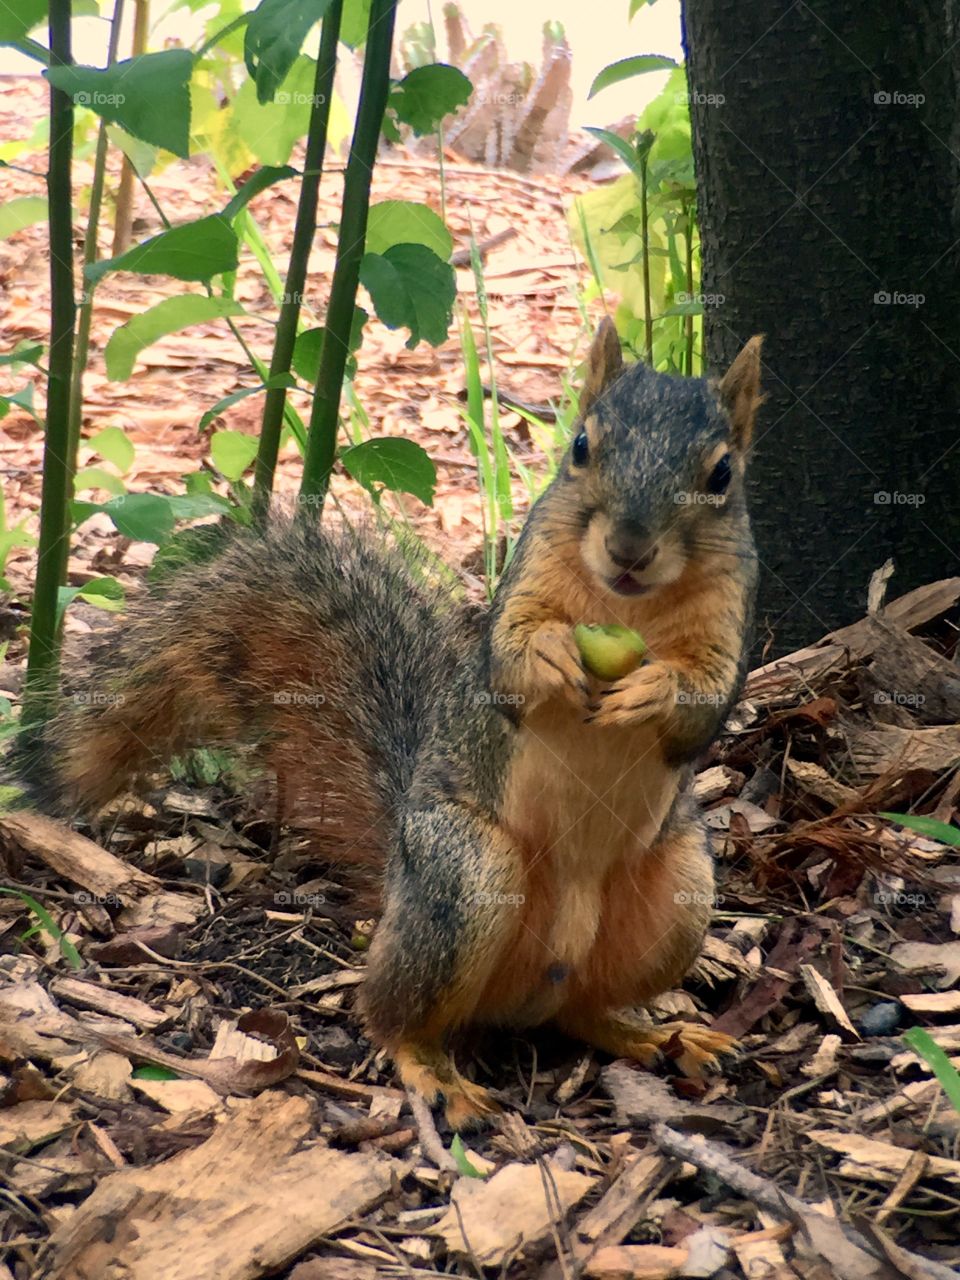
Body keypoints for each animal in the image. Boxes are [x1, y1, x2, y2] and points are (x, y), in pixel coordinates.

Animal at [11, 320, 763, 1129]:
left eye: (723, 474)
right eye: (581, 447)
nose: (628, 549)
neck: (624, 604)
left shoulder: (731, 621)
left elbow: (706, 704)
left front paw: (655, 688)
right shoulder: (520, 592)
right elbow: (508, 662)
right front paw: (551, 655)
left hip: (681, 899)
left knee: (583, 1010)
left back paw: (656, 1033)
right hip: (465, 878)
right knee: (392, 1016)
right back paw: (434, 1071)